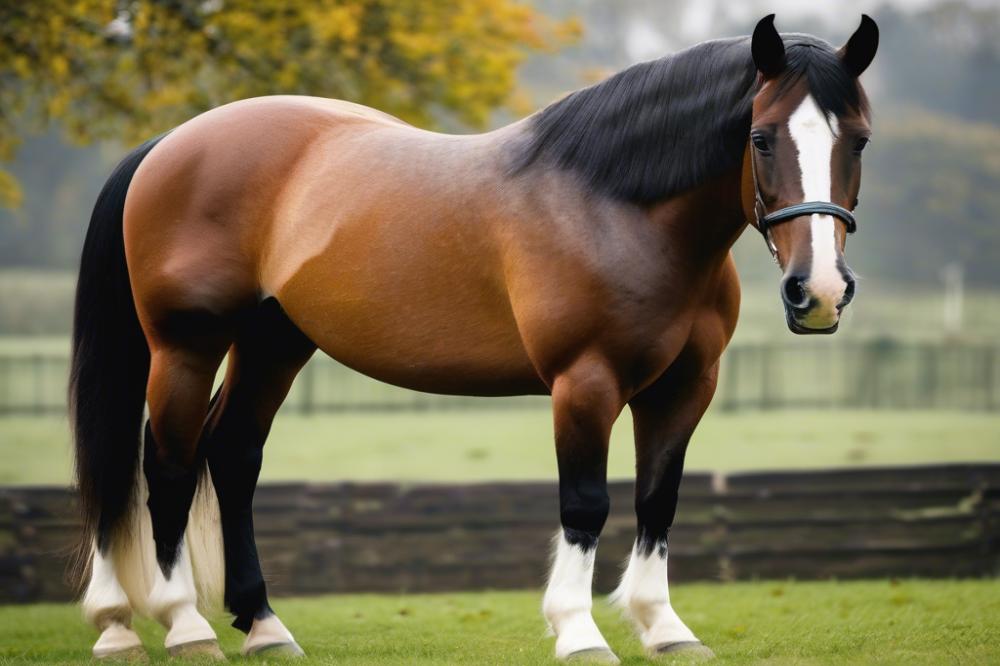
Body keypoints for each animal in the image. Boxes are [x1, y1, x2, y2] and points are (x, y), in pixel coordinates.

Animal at [70, 14, 878, 661]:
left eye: (861, 141)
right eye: (761, 138)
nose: (819, 292)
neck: (614, 203)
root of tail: (172, 143)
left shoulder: (685, 387)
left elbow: (658, 500)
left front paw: (665, 629)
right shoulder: (585, 383)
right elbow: (586, 505)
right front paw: (578, 633)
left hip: (275, 343)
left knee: (231, 457)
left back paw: (262, 626)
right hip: (185, 346)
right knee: (163, 464)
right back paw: (174, 626)